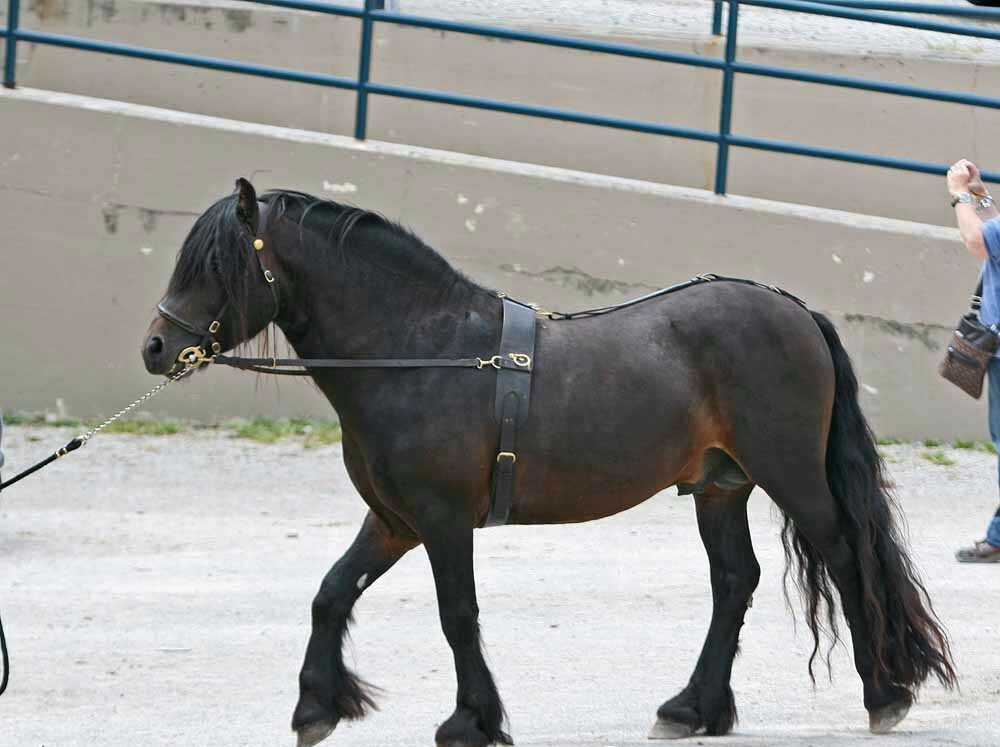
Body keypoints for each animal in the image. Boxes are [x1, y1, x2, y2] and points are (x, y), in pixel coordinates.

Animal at [141, 178, 955, 747]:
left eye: (217, 266)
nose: (155, 346)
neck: (422, 350)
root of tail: (794, 311)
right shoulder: (394, 519)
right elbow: (331, 593)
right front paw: (316, 705)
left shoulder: (442, 521)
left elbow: (457, 614)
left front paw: (472, 721)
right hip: (719, 486)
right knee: (734, 582)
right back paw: (693, 708)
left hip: (791, 476)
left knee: (846, 558)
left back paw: (884, 693)